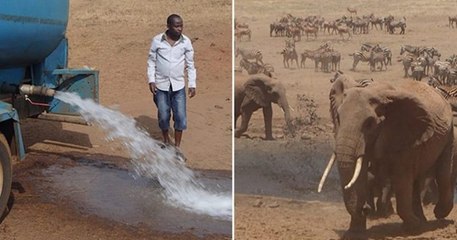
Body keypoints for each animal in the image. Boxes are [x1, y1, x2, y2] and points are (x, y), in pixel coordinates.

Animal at [318, 72, 454, 239]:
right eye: (338, 118)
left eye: (369, 123)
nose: (366, 209)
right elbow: (360, 175)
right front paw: (354, 234)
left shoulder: (403, 134)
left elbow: (402, 180)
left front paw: (412, 228)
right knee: (416, 181)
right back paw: (422, 222)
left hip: (449, 133)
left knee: (443, 173)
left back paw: (438, 214)